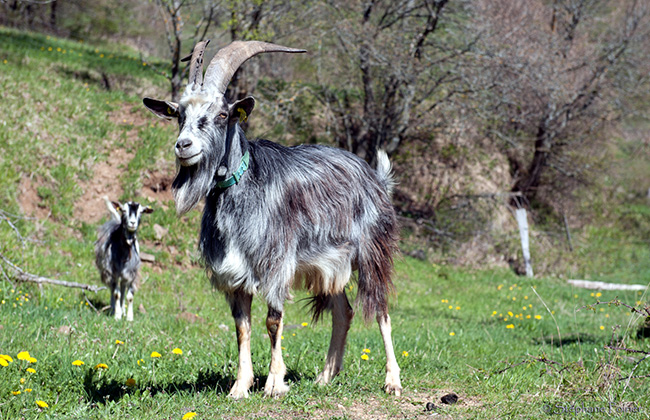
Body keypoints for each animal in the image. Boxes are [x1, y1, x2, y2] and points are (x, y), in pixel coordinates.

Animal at [143, 41, 400, 398]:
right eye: (180, 115)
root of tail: (376, 178)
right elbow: (242, 327)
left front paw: (274, 383)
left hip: (372, 252)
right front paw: (240, 387)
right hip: (333, 263)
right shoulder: (235, 277)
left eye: (222, 115)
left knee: (381, 309)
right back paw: (325, 376)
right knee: (343, 312)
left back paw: (393, 381)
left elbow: (273, 320)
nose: (184, 146)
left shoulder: (277, 266)